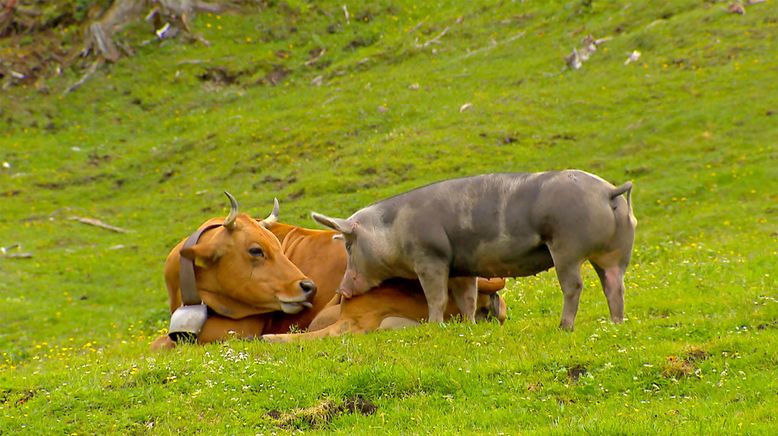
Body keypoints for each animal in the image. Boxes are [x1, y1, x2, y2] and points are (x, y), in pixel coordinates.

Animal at [152, 196, 506, 350]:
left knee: (342, 330)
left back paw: (275, 339)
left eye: (277, 247)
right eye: (256, 250)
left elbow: (160, 344)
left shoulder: (236, 329)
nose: (308, 287)